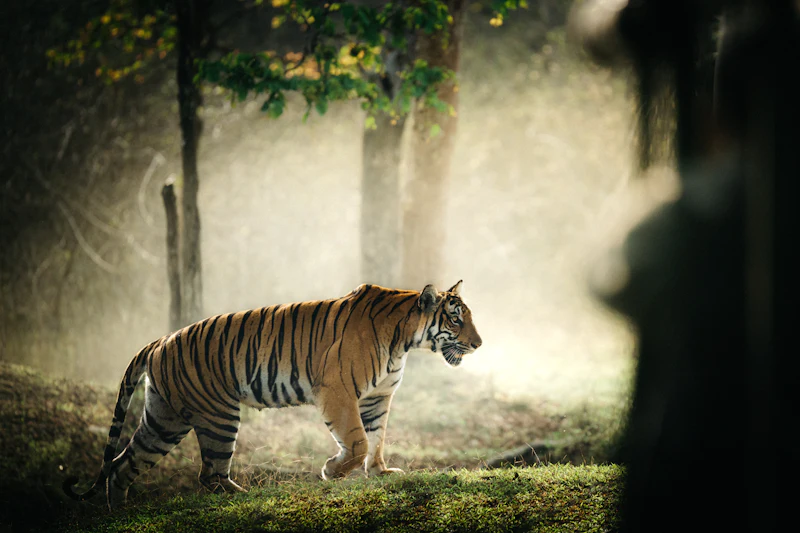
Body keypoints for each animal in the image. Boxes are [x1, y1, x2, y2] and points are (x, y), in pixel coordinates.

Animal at [63, 280, 482, 509]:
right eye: (455, 319)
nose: (479, 344)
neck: (404, 341)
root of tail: (160, 340)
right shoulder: (338, 391)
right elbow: (358, 441)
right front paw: (332, 471)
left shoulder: (377, 398)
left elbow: (377, 439)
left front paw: (380, 472)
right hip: (218, 415)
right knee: (208, 474)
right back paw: (243, 496)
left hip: (164, 419)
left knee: (122, 465)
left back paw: (119, 513)